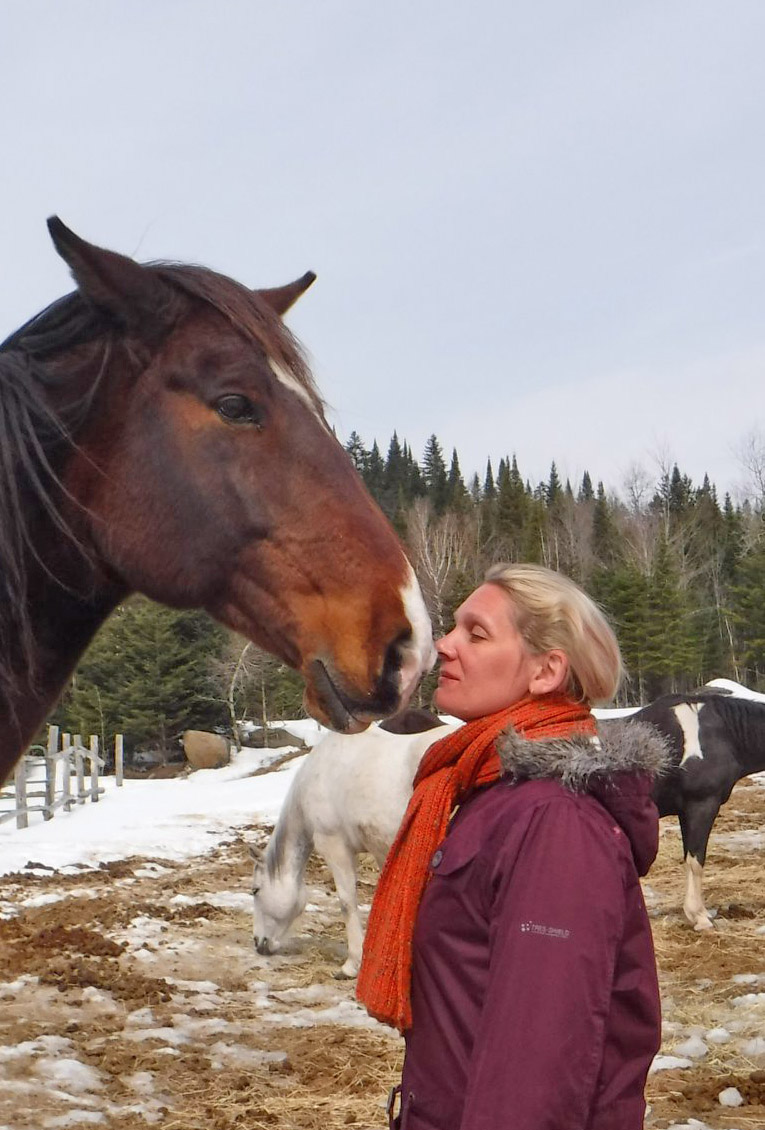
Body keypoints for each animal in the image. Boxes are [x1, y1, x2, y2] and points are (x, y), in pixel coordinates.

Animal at [248, 718, 458, 976]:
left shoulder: (336, 848)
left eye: (255, 890)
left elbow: (347, 903)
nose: (258, 943)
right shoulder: (382, 850)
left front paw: (353, 963)